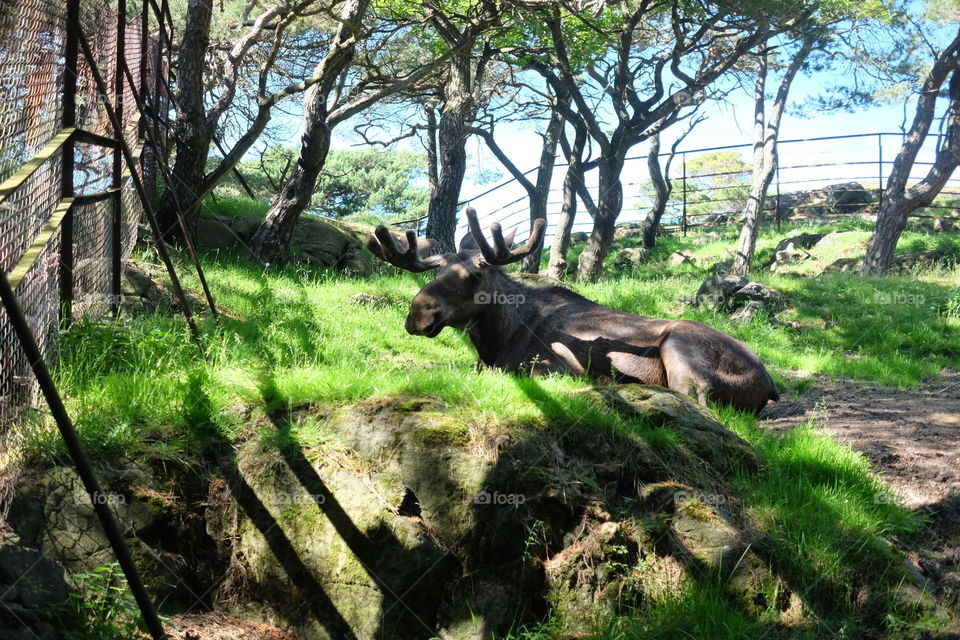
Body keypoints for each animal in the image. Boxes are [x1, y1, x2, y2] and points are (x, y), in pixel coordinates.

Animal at [365, 209, 779, 412]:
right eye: (436, 271)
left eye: (475, 274)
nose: (418, 315)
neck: (494, 339)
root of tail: (772, 384)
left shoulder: (557, 366)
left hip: (681, 348)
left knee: (695, 397)